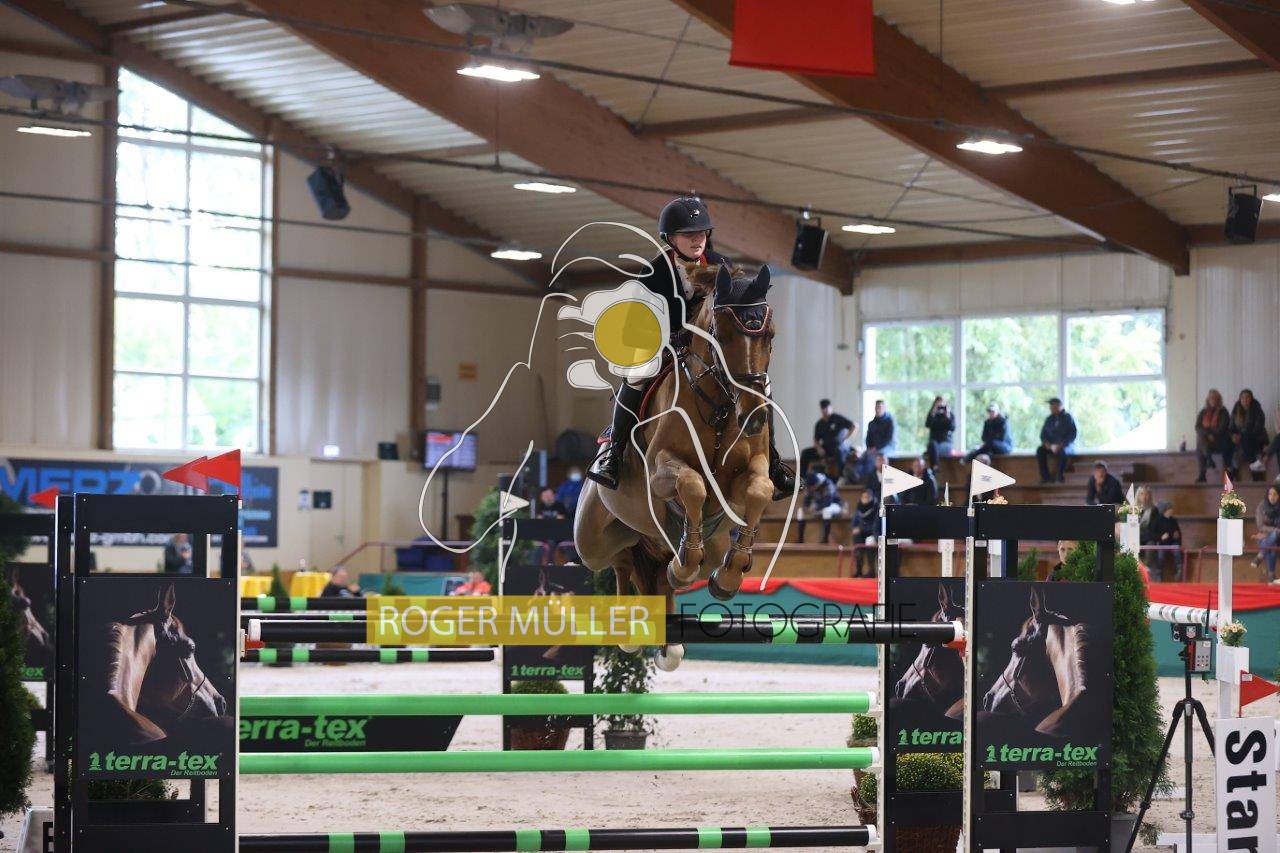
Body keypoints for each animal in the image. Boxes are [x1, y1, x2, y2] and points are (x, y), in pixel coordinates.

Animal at [574, 263, 778, 671]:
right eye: (719, 335)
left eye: (769, 335)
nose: (754, 418)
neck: (719, 409)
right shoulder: (659, 472)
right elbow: (693, 485)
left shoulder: (750, 471)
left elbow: (759, 491)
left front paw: (729, 577)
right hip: (592, 540)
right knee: (621, 562)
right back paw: (631, 630)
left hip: (701, 544)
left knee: (665, 574)